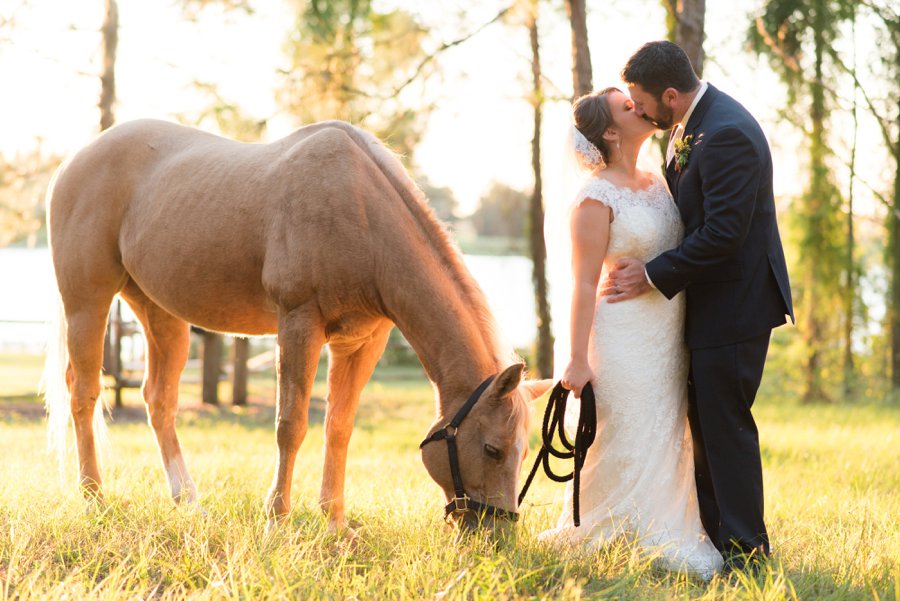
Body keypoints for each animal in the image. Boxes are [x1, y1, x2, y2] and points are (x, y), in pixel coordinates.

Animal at [47, 118, 556, 528]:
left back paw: (187, 501)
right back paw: (93, 497)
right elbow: (290, 425)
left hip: (161, 313)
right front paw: (277, 519)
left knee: (159, 400)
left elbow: (338, 426)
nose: (497, 534)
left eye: (524, 450)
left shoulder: (363, 342)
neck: (360, 212)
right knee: (84, 393)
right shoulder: (298, 324)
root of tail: (74, 161)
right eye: (492, 449)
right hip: (88, 301)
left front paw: (335, 522)